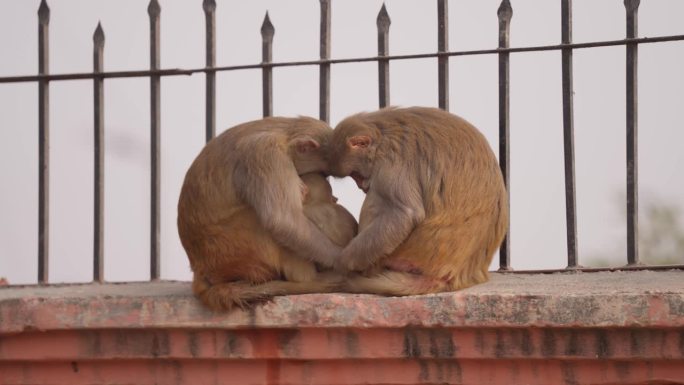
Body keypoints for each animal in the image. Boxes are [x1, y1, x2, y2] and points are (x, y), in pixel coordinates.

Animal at [176, 116, 358, 308]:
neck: (283, 135)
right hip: (234, 251)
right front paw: (342, 260)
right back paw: (307, 278)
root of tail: (201, 271)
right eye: (322, 171)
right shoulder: (267, 155)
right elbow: (283, 221)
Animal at [326, 106, 508, 296]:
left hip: (409, 255)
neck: (383, 134)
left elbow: (405, 214)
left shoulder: (391, 163)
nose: (362, 185)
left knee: (376, 200)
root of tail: (457, 274)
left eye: (355, 174)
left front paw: (342, 262)